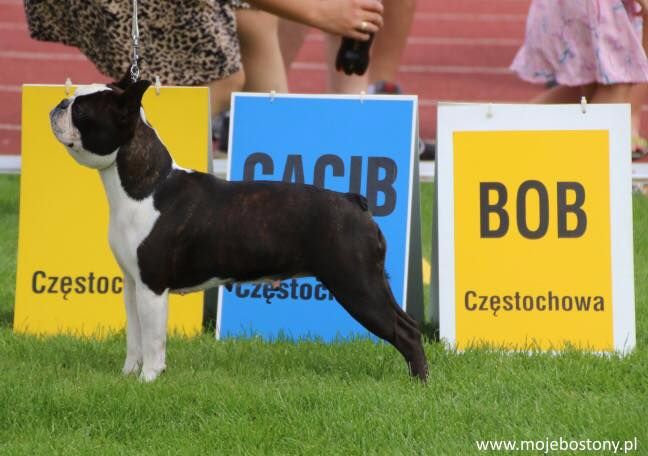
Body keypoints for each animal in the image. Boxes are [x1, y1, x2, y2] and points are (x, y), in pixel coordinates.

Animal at [48, 76, 428, 382]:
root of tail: (353, 201)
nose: (59, 104)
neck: (145, 186)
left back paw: (419, 385)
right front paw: (128, 375)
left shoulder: (153, 287)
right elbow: (135, 337)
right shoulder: (133, 285)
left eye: (82, 111)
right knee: (407, 324)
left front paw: (150, 379)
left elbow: (154, 339)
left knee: (406, 332)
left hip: (356, 283)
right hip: (365, 281)